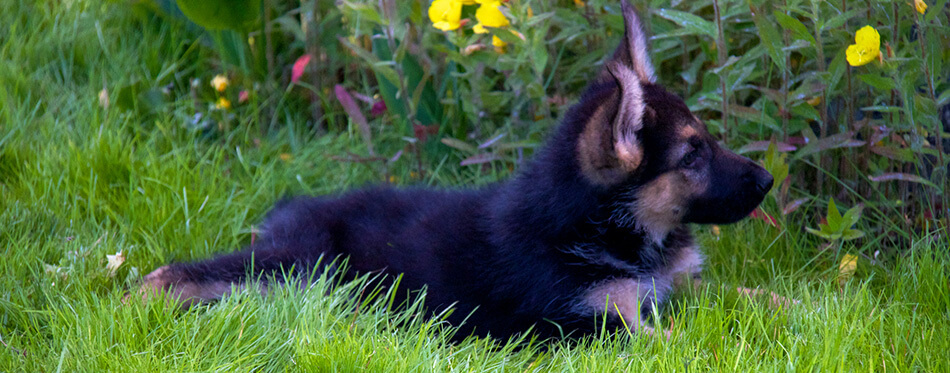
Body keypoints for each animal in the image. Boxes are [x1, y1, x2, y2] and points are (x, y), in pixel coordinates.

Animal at [145, 0, 776, 340]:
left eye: (706, 142)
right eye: (692, 155)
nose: (768, 181)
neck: (606, 229)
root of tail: (286, 211)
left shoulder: (682, 286)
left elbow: (752, 296)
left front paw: (792, 310)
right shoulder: (594, 322)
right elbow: (673, 338)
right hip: (300, 265)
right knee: (176, 273)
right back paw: (139, 303)